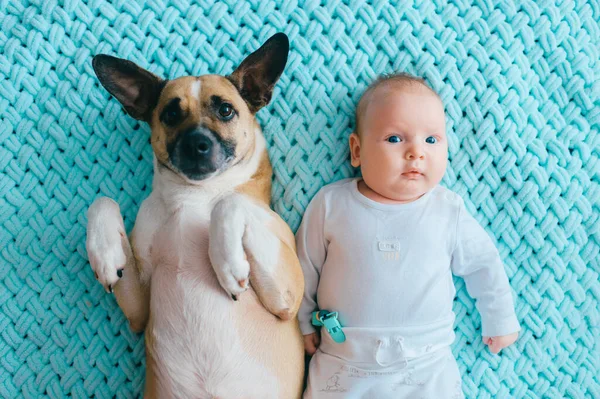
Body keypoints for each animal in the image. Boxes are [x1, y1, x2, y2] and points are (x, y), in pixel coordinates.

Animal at [84, 32, 304, 398]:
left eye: (226, 110)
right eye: (171, 114)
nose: (196, 145)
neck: (195, 195)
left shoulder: (287, 301)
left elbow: (230, 202)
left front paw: (227, 263)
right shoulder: (139, 312)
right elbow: (101, 200)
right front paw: (105, 254)